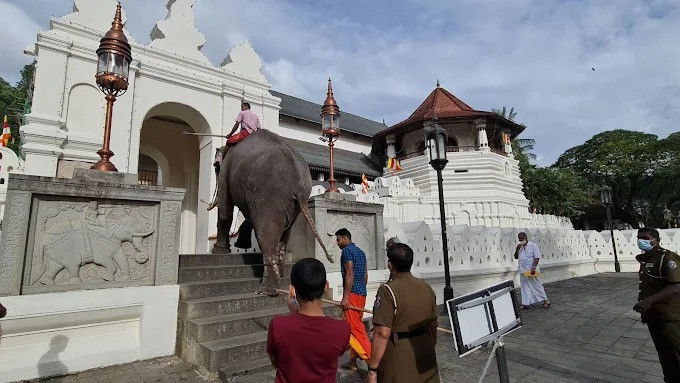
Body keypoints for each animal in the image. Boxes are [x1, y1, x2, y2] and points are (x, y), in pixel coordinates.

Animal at [211, 130, 330, 296]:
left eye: (215, 167)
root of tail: (299, 185)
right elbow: (249, 216)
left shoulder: (226, 175)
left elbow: (225, 210)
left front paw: (218, 251)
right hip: (291, 204)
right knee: (283, 232)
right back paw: (282, 274)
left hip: (268, 196)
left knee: (266, 232)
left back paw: (267, 291)